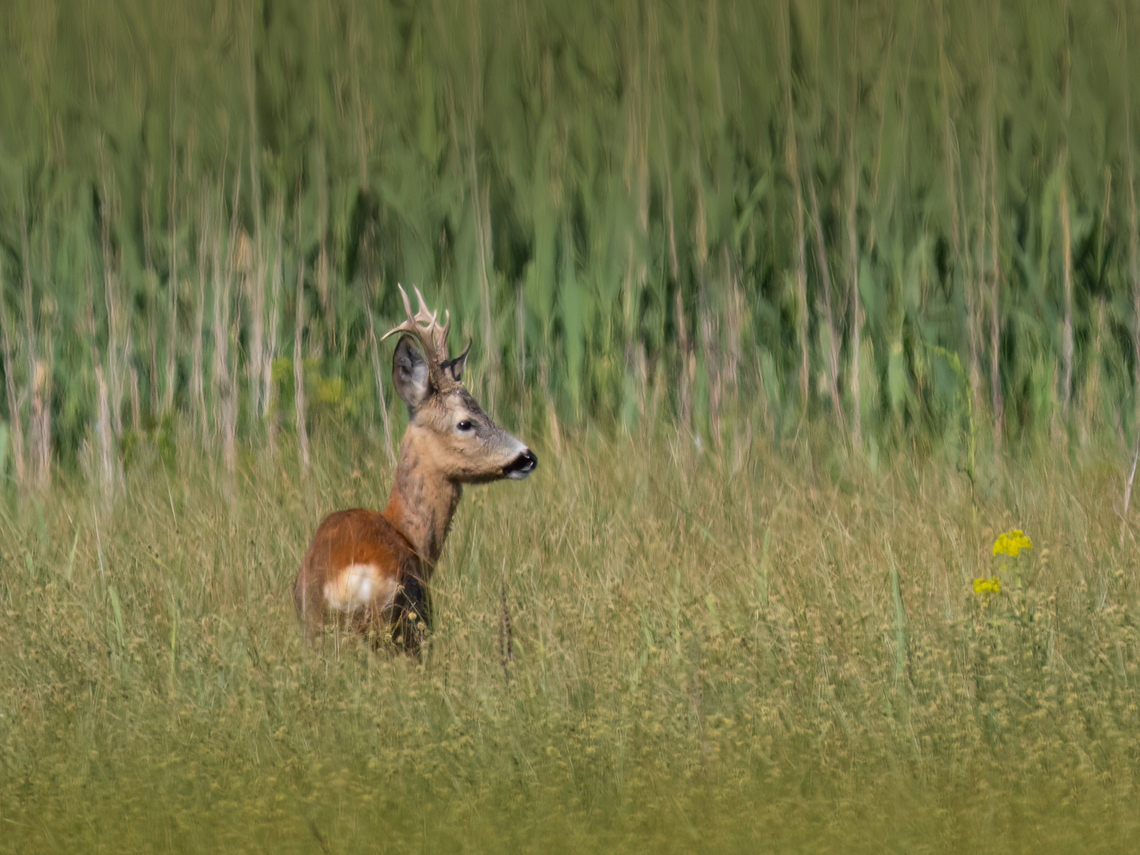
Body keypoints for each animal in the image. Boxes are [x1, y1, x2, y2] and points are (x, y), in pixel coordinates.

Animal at [292, 285, 537, 653]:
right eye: (465, 422)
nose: (527, 456)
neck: (408, 532)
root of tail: (347, 582)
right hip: (401, 624)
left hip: (315, 627)